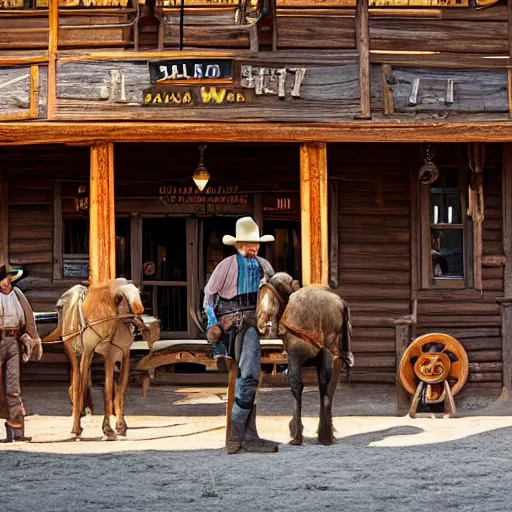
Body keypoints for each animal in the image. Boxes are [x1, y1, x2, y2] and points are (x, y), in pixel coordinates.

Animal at [48, 278, 156, 438]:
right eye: (124, 298)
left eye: (139, 293)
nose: (140, 313)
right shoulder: (90, 352)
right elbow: (89, 388)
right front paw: (85, 427)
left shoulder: (120, 354)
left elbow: (117, 390)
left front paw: (118, 426)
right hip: (74, 352)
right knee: (77, 383)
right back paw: (77, 420)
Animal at [256, 274, 352, 446]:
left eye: (271, 299)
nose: (261, 324)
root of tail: (340, 305)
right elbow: (323, 385)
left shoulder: (296, 352)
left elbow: (296, 384)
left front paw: (296, 431)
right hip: (334, 352)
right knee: (329, 386)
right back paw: (326, 434)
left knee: (302, 384)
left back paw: (305, 434)